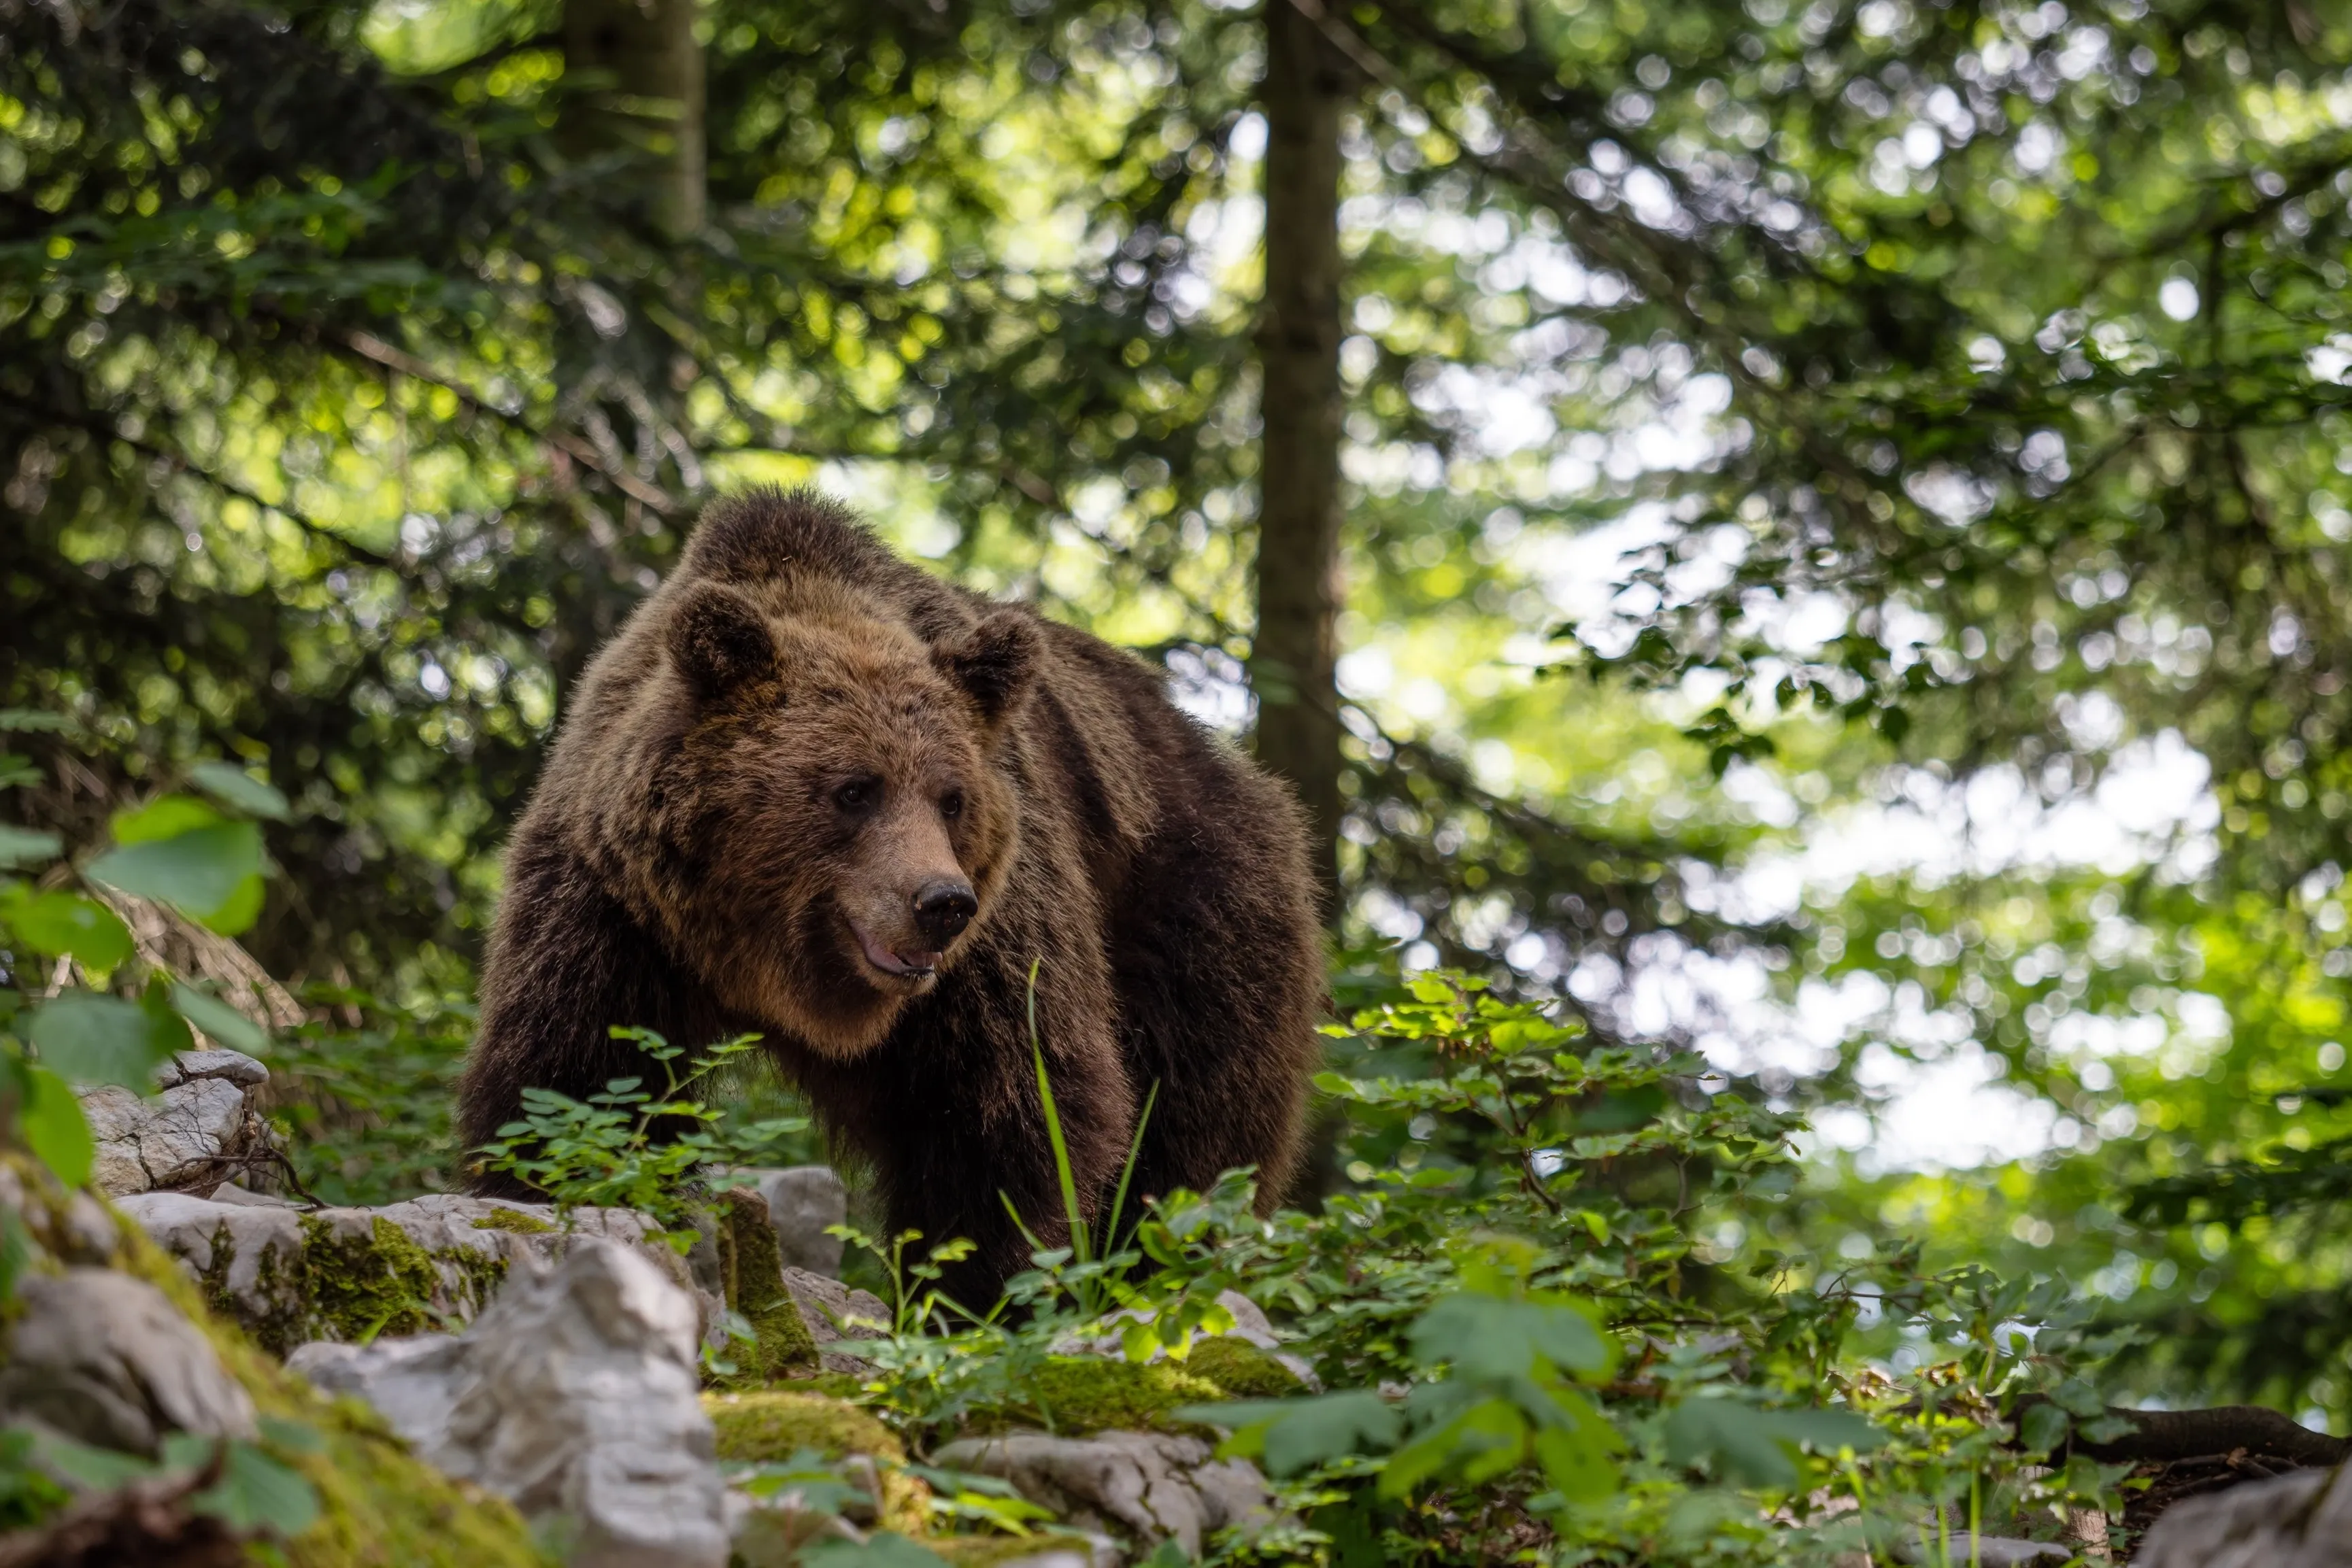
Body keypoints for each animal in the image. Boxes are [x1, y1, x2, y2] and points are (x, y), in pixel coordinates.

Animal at [457, 488, 1326, 1304]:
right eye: (854, 788)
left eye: (951, 797)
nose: (940, 902)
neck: (774, 964)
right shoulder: (615, 907)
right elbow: (575, 1086)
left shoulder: (998, 941)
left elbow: (1008, 1111)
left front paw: (967, 1294)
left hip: (1196, 909)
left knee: (1190, 1145)